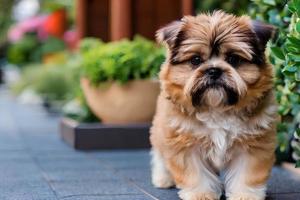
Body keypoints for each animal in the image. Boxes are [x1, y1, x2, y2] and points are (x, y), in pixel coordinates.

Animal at [150, 11, 276, 200]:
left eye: (233, 59)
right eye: (196, 60)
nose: (214, 70)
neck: (216, 109)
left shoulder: (253, 146)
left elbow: (246, 174)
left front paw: (244, 195)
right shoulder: (186, 144)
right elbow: (195, 174)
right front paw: (200, 194)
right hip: (161, 131)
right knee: (160, 154)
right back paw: (163, 178)